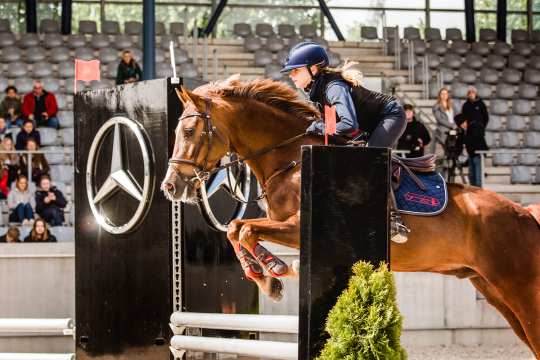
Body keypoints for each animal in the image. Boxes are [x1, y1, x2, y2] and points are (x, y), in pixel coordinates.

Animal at [160, 76, 540, 358]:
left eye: (190, 132)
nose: (170, 186)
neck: (289, 158)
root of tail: (525, 213)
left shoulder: (296, 226)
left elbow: (243, 229)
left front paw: (276, 272)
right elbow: (236, 230)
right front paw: (269, 275)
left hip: (519, 287)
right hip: (490, 287)